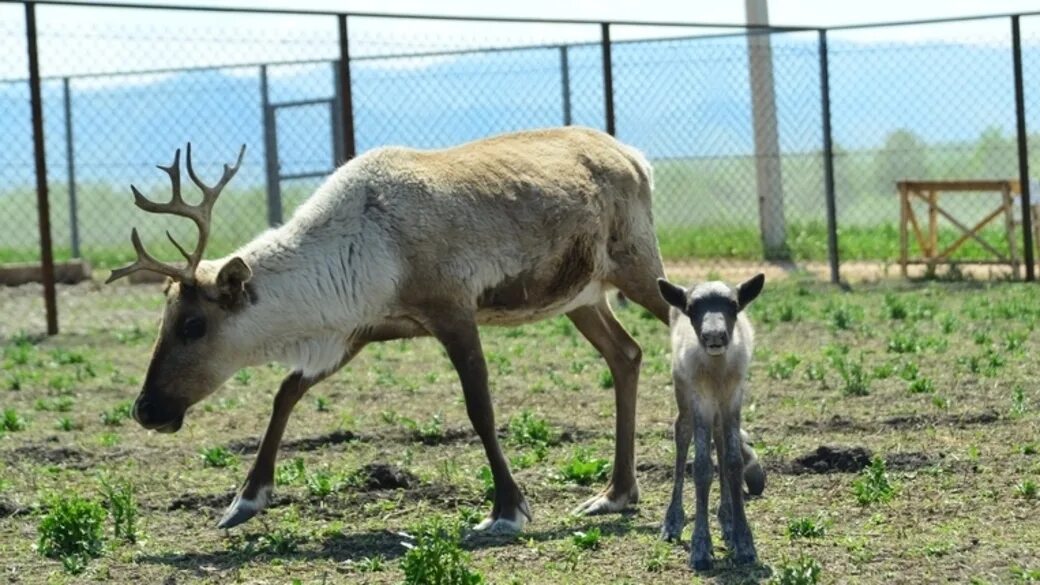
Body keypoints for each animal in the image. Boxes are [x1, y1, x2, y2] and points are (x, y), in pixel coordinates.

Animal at [657, 272, 765, 570]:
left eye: (733, 304)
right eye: (692, 307)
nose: (714, 336)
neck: (717, 373)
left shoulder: (733, 397)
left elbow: (733, 462)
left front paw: (744, 542)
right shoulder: (700, 399)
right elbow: (702, 467)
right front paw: (700, 549)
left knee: (720, 441)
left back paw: (726, 518)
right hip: (682, 390)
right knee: (682, 434)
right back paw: (672, 522)